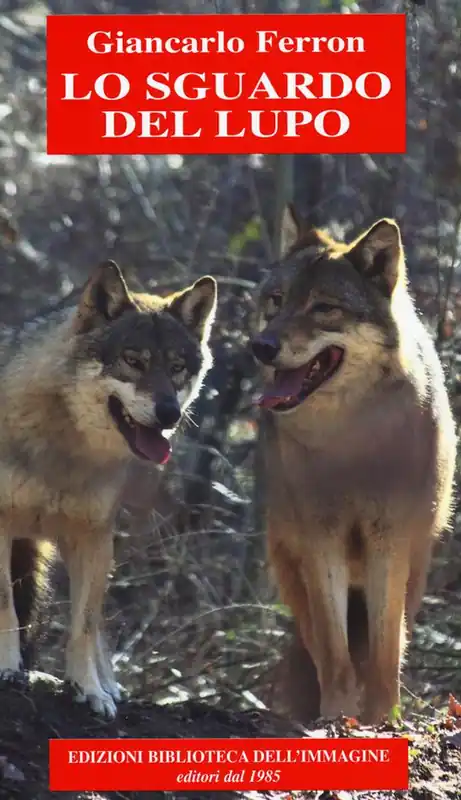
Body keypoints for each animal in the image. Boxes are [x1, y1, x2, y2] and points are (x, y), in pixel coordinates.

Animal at [0, 260, 217, 717]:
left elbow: (83, 625)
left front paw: (91, 690)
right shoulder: (2, 526)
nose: (170, 414)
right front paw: (7, 669)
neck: (63, 449)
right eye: (133, 361)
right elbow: (5, 605)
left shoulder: (92, 536)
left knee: (97, 619)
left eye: (177, 368)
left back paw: (109, 684)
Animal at [251, 207, 456, 724]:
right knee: (315, 646)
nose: (261, 346)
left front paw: (383, 721)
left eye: (323, 308)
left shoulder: (390, 541)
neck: (350, 445)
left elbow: (384, 653)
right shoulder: (320, 541)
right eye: (277, 301)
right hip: (291, 565)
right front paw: (335, 718)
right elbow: (334, 652)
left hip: (415, 568)